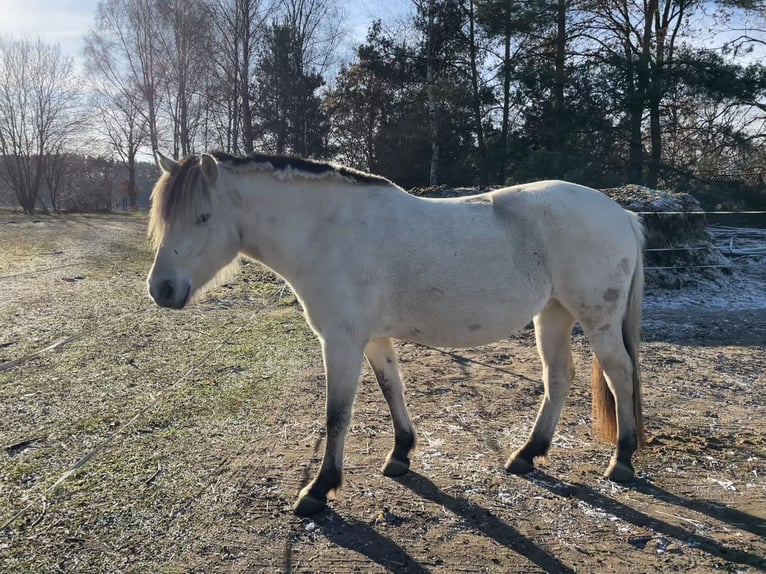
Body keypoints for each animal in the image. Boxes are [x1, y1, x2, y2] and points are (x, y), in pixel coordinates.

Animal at [146, 150, 646, 517]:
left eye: (203, 217)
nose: (162, 289)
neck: (328, 232)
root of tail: (621, 212)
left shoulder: (341, 341)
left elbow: (337, 415)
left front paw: (319, 489)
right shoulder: (372, 338)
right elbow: (392, 389)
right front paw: (401, 453)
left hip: (596, 318)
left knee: (619, 374)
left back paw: (621, 460)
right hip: (554, 314)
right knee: (558, 378)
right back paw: (527, 453)